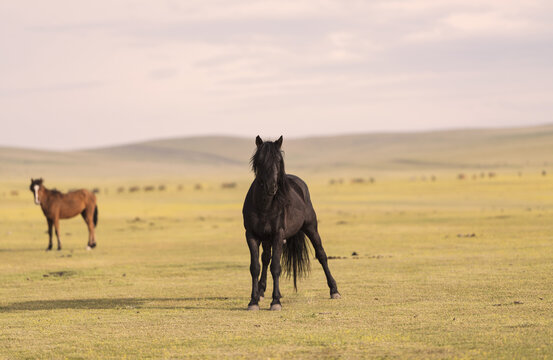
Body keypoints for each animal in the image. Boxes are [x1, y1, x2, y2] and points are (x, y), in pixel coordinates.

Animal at [243, 135, 340, 310]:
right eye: (260, 160)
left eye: (279, 161)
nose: (272, 187)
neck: (265, 206)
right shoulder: (252, 235)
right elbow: (255, 267)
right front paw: (253, 301)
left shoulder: (278, 234)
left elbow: (276, 267)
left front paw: (275, 301)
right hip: (267, 239)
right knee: (266, 258)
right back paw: (261, 291)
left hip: (311, 227)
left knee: (321, 255)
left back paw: (334, 290)